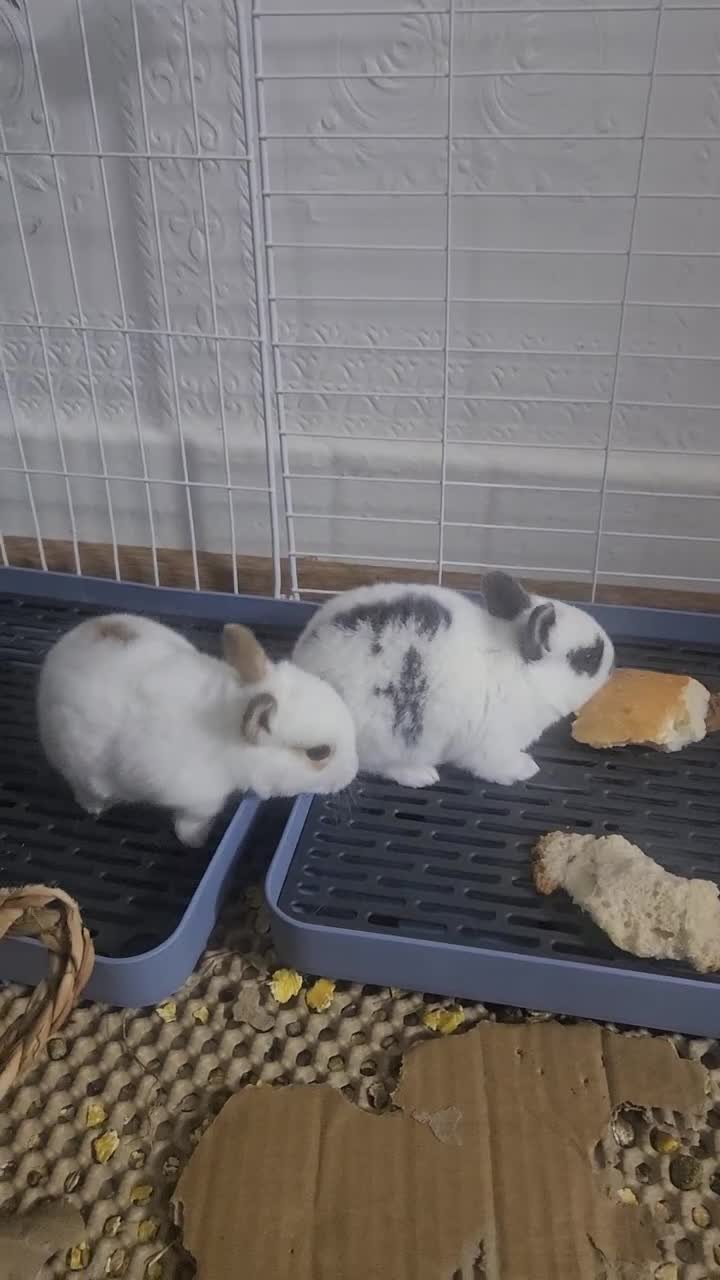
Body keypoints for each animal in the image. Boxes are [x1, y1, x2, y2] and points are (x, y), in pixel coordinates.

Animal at [37, 613, 359, 846]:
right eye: (319, 753)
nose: (352, 773)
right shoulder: (197, 798)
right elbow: (194, 820)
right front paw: (197, 841)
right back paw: (95, 807)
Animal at [292, 571, 614, 789]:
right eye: (588, 657)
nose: (612, 660)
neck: (524, 673)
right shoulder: (493, 746)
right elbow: (496, 766)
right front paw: (526, 768)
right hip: (382, 739)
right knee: (378, 765)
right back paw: (420, 775)